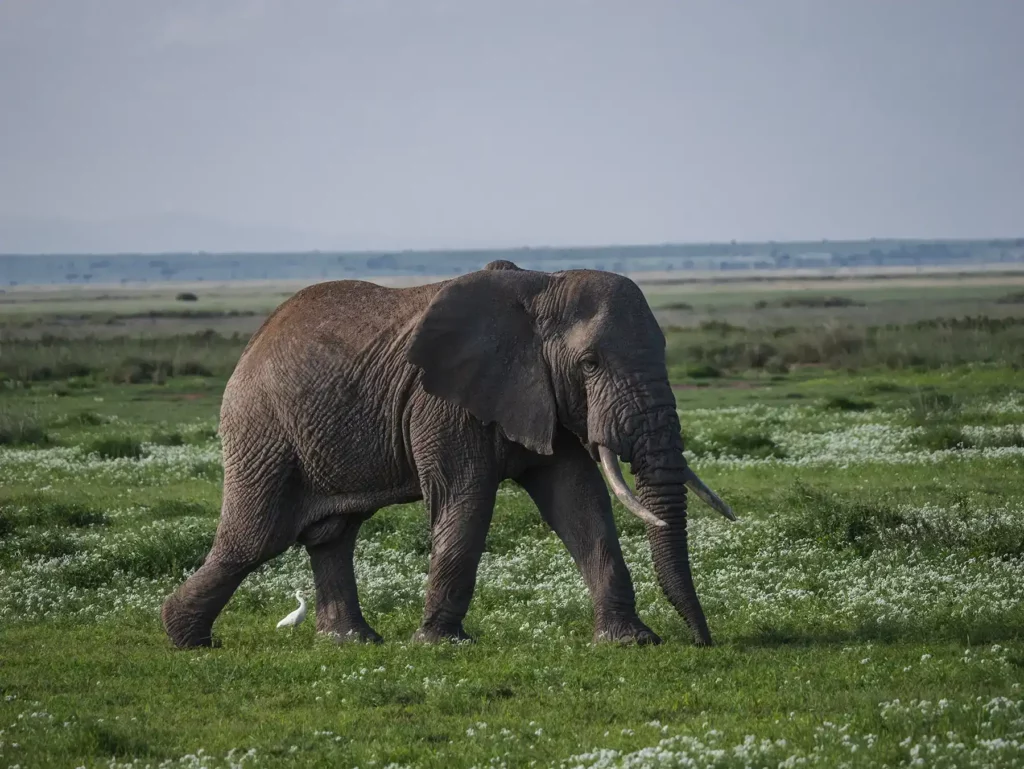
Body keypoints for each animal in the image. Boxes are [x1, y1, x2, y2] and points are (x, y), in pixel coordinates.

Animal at [160, 260, 736, 649]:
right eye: (590, 362)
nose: (703, 642)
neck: (544, 286)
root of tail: (253, 343)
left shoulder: (541, 393)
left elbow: (579, 502)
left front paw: (630, 641)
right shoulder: (444, 401)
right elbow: (467, 497)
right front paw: (440, 645)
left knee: (333, 535)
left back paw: (351, 641)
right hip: (263, 430)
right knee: (256, 538)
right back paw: (186, 639)